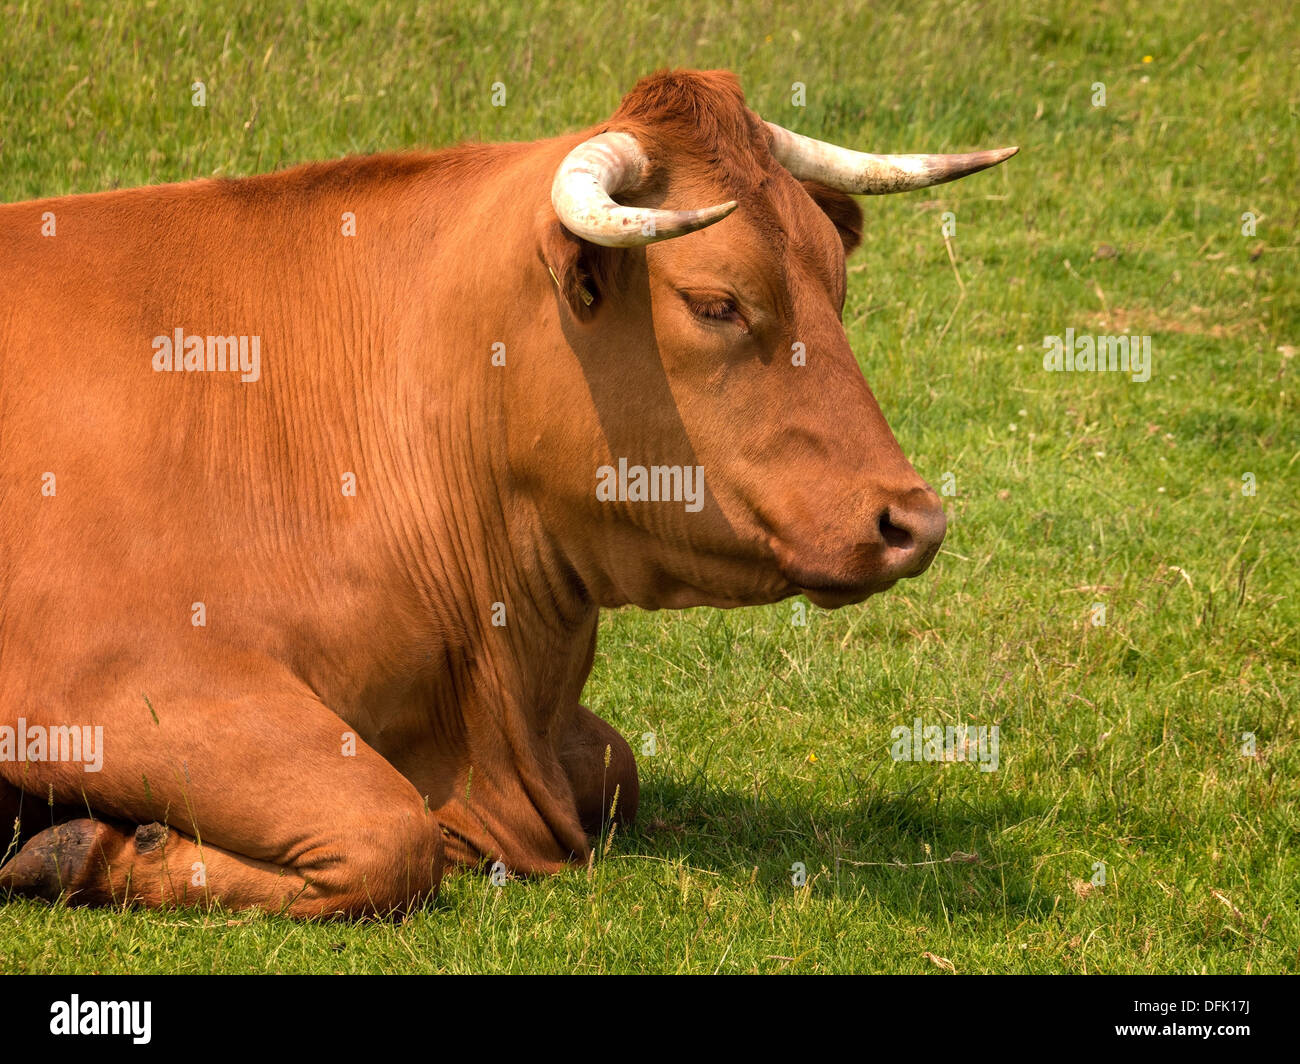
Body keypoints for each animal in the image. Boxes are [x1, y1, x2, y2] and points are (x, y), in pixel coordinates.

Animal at [0, 68, 1008, 910]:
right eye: (717, 303)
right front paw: (84, 846)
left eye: (837, 286)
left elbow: (614, 764)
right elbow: (386, 833)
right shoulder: (99, 681)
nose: (916, 520)